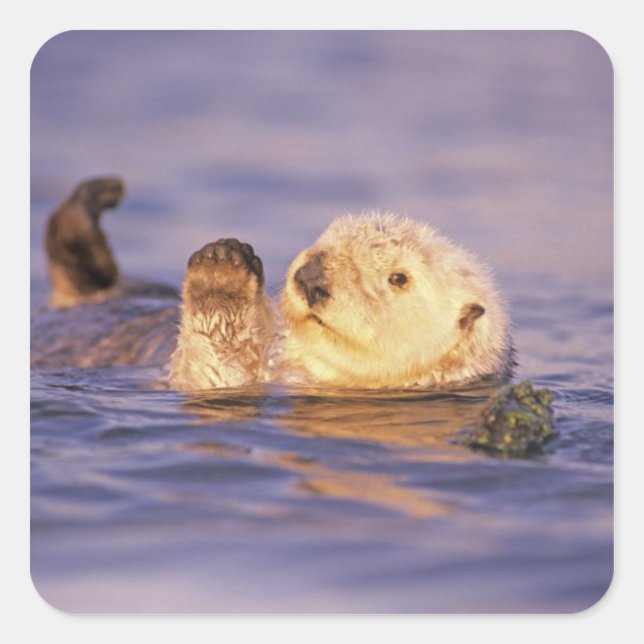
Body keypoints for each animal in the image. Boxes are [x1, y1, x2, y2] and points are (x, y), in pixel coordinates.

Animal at [32, 178, 513, 389]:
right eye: (326, 238)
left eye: (399, 278)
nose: (311, 275)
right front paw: (224, 252)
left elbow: (213, 369)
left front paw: (222, 270)